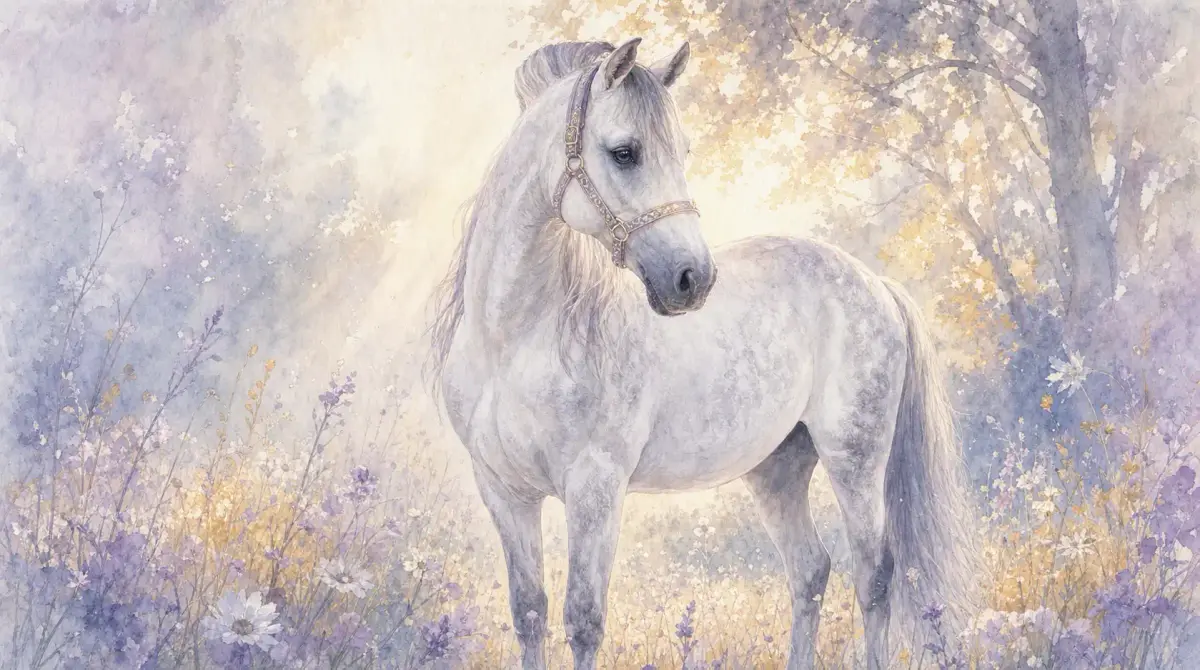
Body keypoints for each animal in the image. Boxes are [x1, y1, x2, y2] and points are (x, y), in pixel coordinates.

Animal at [426, 38, 978, 670]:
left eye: (684, 150)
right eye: (625, 152)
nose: (693, 279)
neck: (516, 339)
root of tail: (875, 284)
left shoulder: (594, 490)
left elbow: (584, 621)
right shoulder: (504, 492)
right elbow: (530, 614)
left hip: (855, 459)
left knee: (874, 577)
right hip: (778, 468)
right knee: (810, 572)